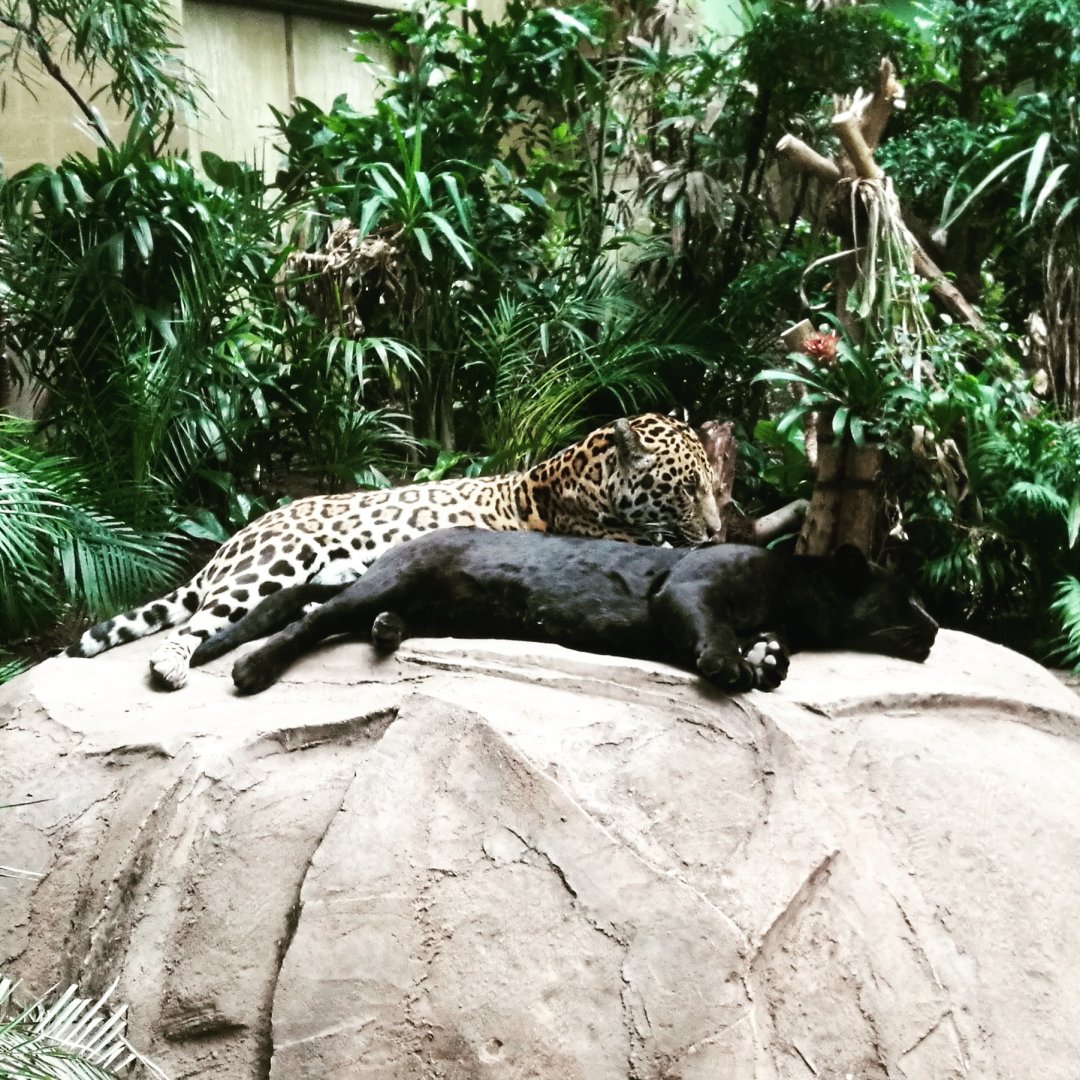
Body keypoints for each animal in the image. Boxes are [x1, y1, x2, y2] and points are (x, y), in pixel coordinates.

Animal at [67, 413, 722, 689]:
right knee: (199, 625)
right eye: (689, 487)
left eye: (715, 486)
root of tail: (233, 540)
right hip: (275, 561)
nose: (716, 531)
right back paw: (174, 665)